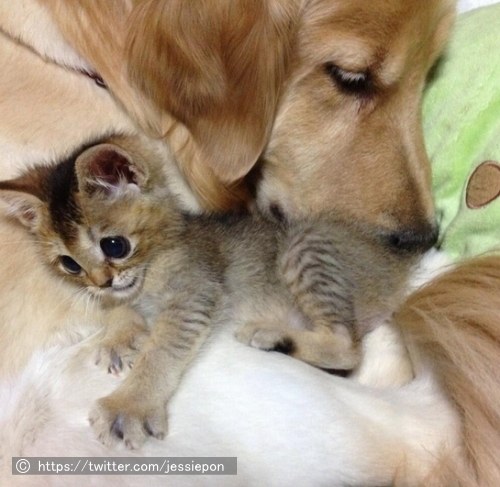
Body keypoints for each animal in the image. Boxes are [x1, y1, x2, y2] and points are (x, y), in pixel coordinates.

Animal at [0, 136, 416, 450]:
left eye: (114, 245)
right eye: (70, 264)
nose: (100, 281)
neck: (157, 263)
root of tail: (397, 260)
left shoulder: (195, 295)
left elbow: (161, 352)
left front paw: (130, 405)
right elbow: (118, 309)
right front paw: (120, 336)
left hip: (304, 245)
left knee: (347, 346)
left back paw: (271, 336)